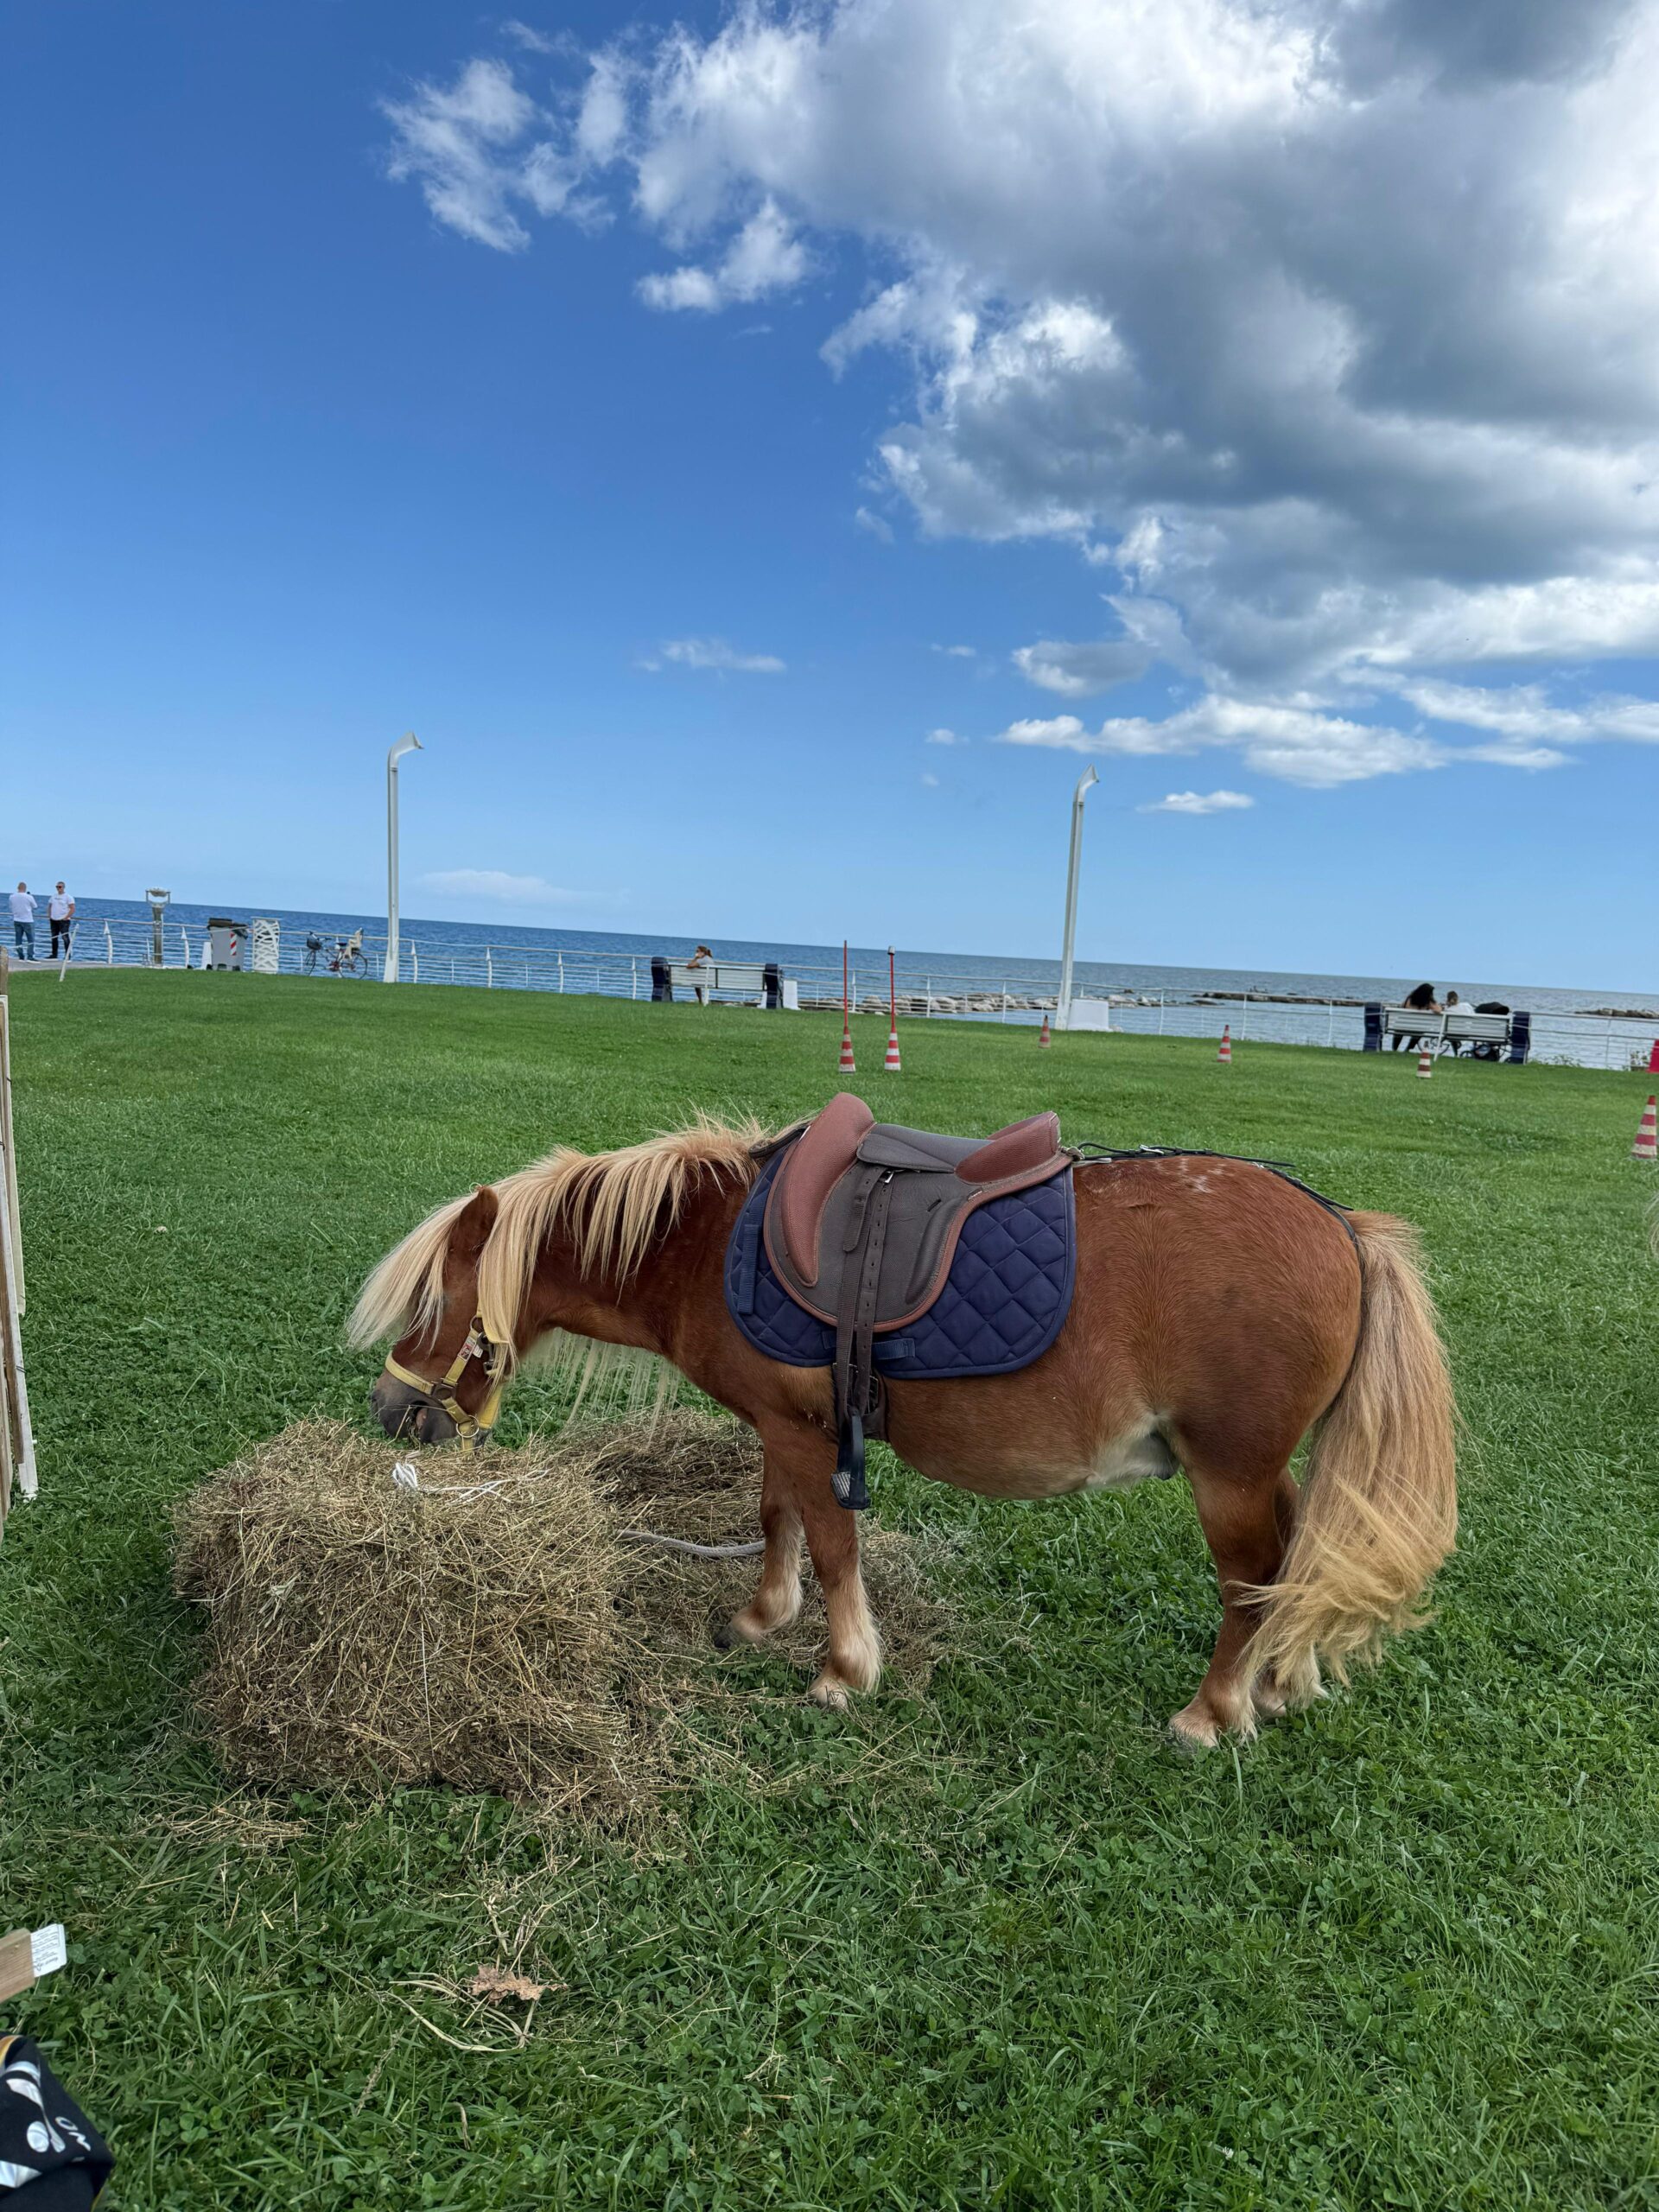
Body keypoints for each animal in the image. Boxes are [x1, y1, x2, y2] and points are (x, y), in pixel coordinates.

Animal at [350, 1111, 1457, 1747]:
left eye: (436, 1300)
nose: (390, 1408)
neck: (707, 1242)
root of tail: (1342, 1227)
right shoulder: (782, 1428)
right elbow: (777, 1520)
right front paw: (762, 1616)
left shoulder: (806, 1433)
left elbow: (836, 1545)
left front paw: (843, 1668)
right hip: (1264, 1469)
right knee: (1300, 1558)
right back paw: (1285, 1682)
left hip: (1227, 1473)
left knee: (1249, 1582)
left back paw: (1215, 1710)